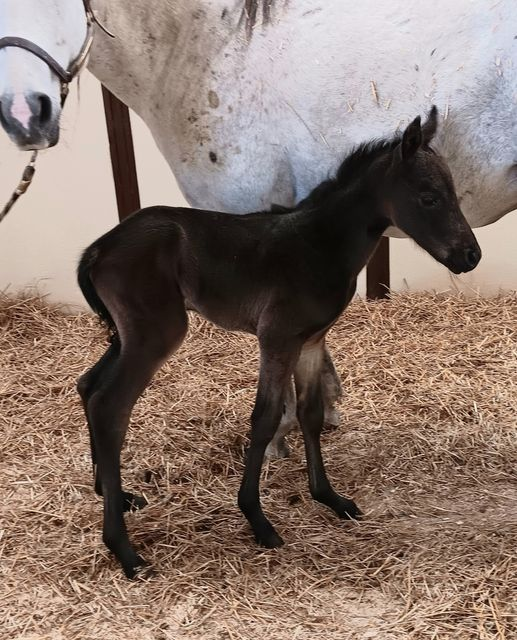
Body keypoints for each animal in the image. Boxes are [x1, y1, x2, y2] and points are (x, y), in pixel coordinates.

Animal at [76, 109, 481, 578]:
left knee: (89, 386)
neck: (319, 242)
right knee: (110, 406)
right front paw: (257, 519)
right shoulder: (277, 338)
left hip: (129, 335)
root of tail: (98, 249)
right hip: (155, 333)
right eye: (429, 197)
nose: (471, 256)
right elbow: (266, 417)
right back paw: (124, 549)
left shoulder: (311, 341)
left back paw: (116, 495)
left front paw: (330, 498)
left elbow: (310, 413)